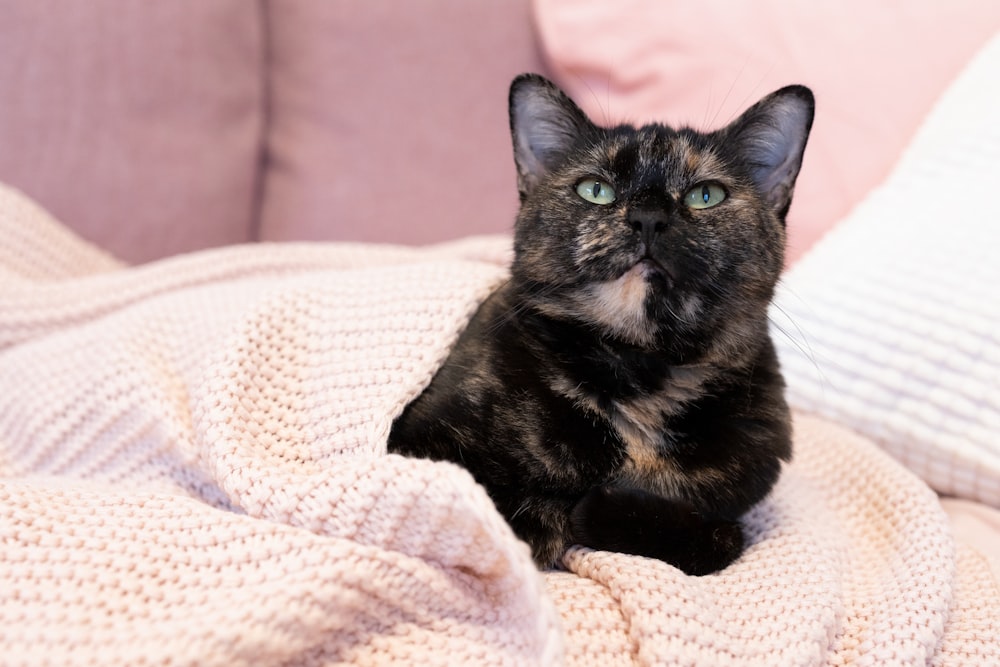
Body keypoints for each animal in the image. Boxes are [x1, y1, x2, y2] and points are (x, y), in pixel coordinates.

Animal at [386, 72, 816, 576]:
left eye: (705, 196)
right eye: (595, 189)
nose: (648, 216)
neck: (644, 381)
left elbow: (723, 536)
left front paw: (596, 508)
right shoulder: (418, 451)